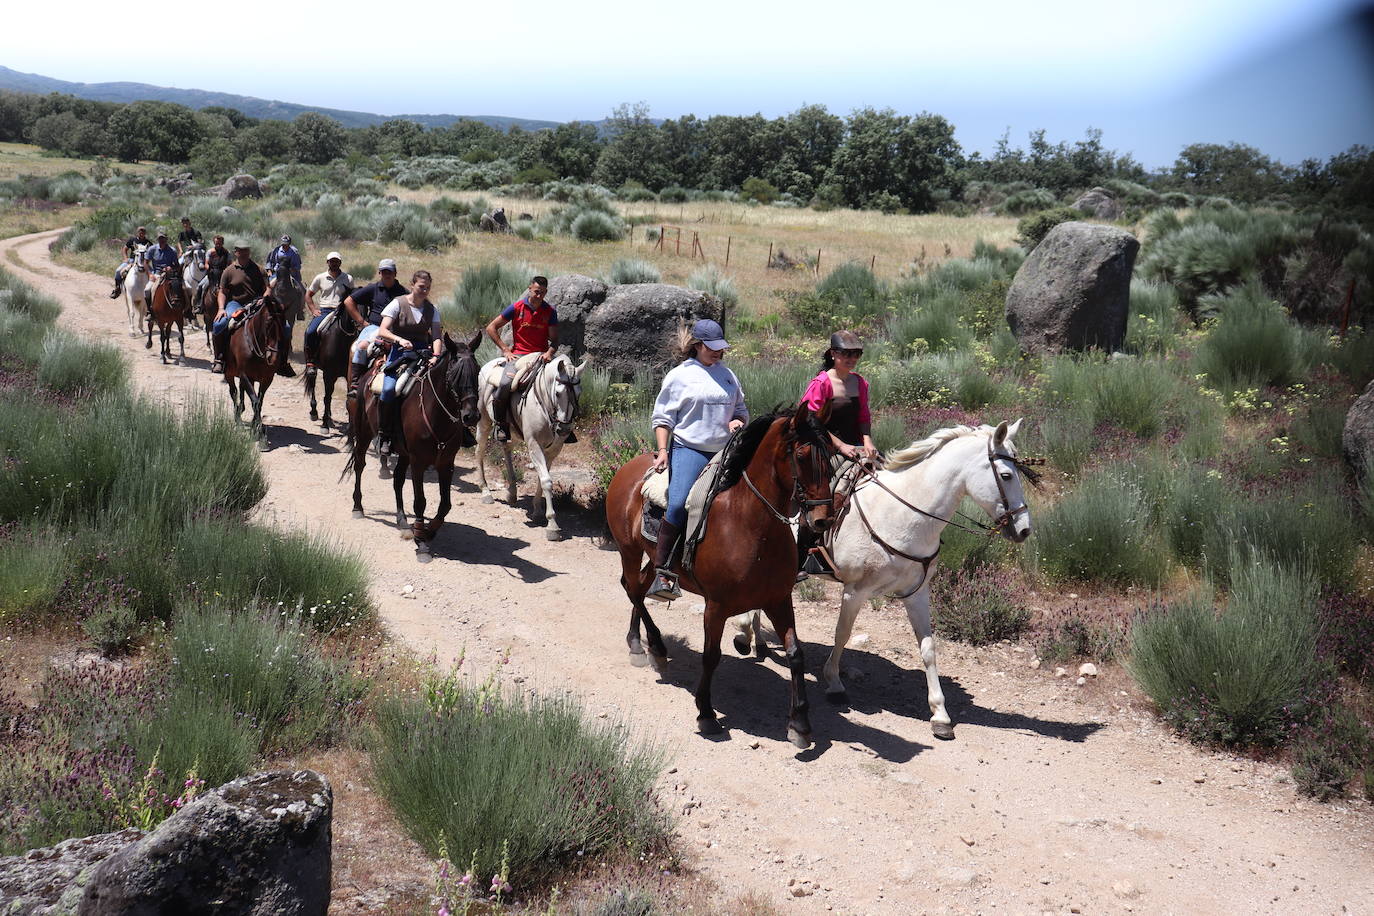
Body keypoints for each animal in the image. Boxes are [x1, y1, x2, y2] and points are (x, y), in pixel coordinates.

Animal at [222, 295, 287, 436]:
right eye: (268, 323)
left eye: (284, 323)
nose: (273, 358)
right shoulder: (246, 375)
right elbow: (255, 401)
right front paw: (260, 430)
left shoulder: (267, 378)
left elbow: (259, 401)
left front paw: (254, 426)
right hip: (229, 373)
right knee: (234, 392)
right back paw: (238, 418)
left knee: (241, 391)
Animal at [346, 329, 486, 560]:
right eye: (454, 374)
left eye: (478, 372)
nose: (471, 416)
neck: (435, 412)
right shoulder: (419, 462)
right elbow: (420, 500)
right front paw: (421, 541)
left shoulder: (446, 463)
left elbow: (445, 504)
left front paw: (428, 532)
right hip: (364, 433)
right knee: (359, 465)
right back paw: (358, 507)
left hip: (403, 453)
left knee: (398, 480)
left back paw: (402, 521)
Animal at [475, 351, 588, 538]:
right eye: (558, 393)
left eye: (578, 393)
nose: (564, 428)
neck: (544, 402)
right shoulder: (534, 445)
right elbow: (547, 481)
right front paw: (552, 525)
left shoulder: (553, 450)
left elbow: (542, 480)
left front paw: (537, 512)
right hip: (483, 421)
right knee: (479, 451)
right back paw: (485, 492)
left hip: (511, 431)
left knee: (506, 448)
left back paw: (512, 493)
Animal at [604, 409, 835, 752]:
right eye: (802, 456)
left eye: (831, 456)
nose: (822, 520)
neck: (749, 523)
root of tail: (627, 469)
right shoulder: (716, 606)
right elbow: (711, 656)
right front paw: (706, 713)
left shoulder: (779, 600)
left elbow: (795, 654)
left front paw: (800, 724)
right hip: (628, 550)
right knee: (632, 589)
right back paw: (653, 647)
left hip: (650, 560)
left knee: (641, 588)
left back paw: (639, 643)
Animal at [730, 420, 1033, 741]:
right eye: (1006, 475)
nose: (1024, 529)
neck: (902, 516)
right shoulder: (855, 591)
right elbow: (842, 634)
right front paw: (834, 683)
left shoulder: (917, 594)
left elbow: (928, 649)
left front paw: (940, 714)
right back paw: (745, 635)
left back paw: (756, 639)